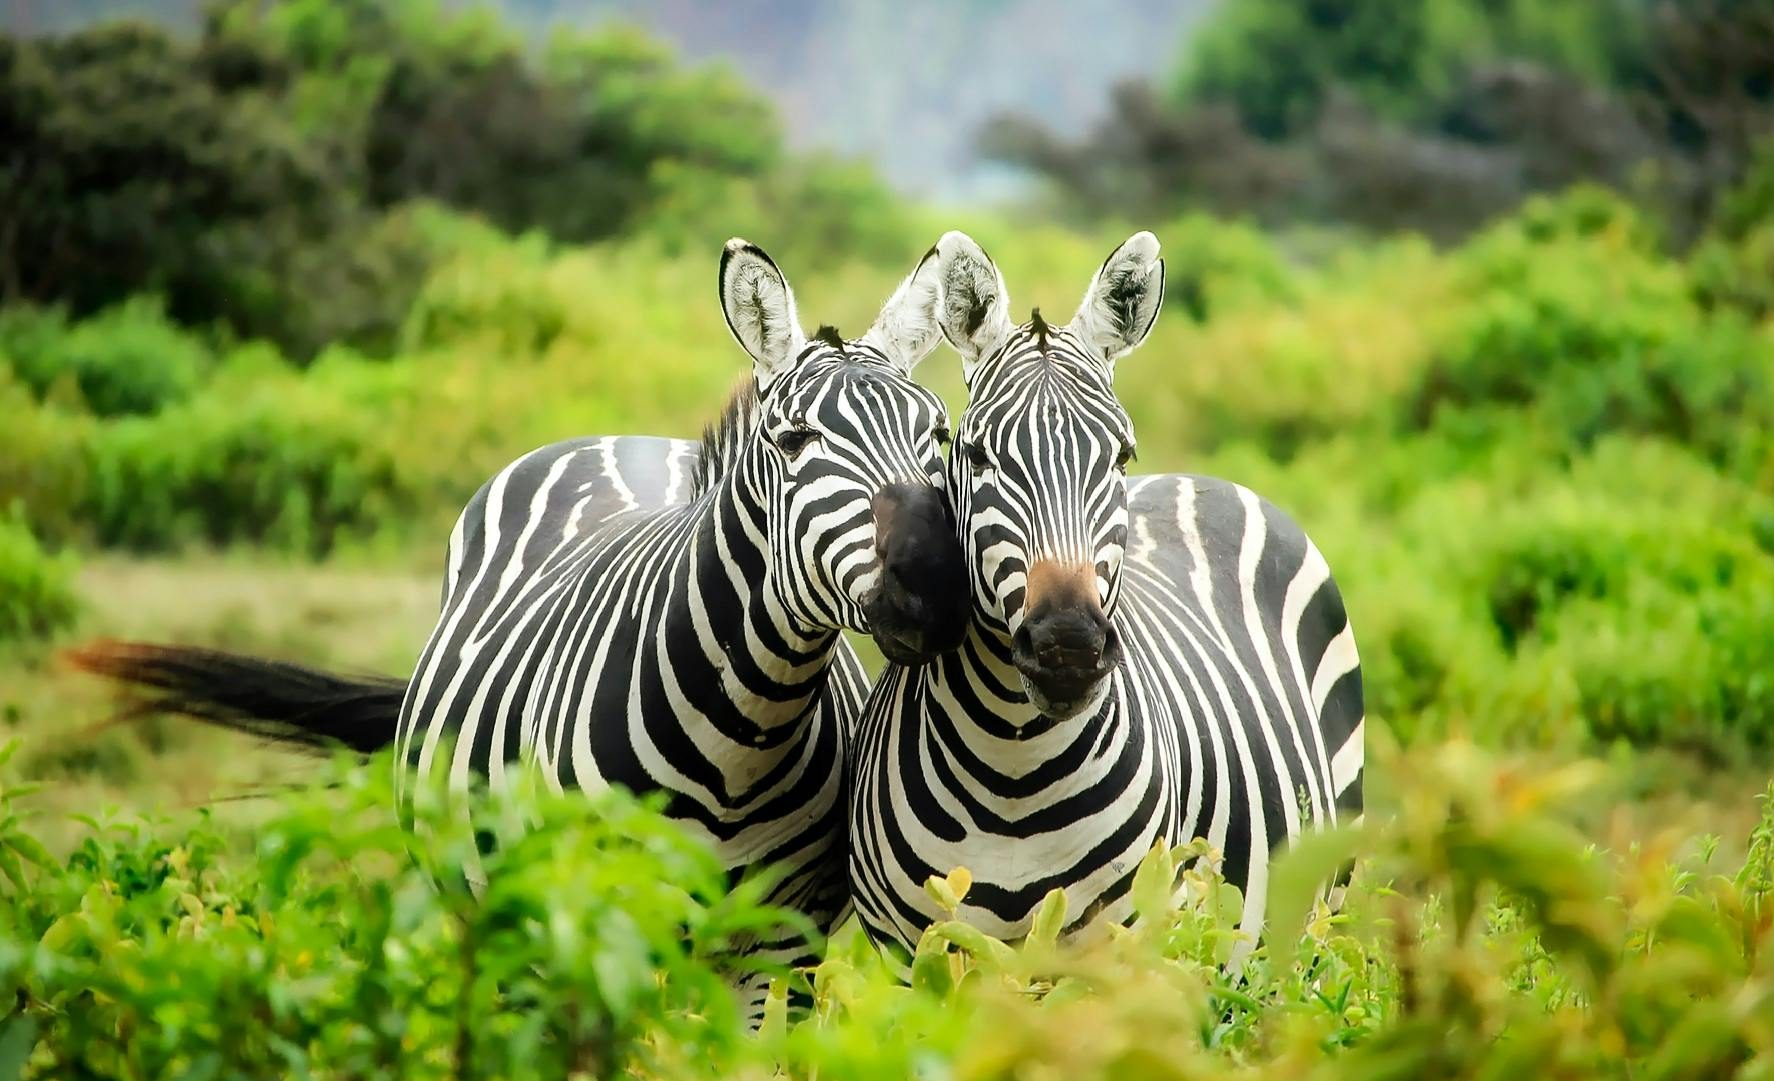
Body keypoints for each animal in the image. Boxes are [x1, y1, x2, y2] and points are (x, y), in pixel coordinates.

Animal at [72, 237, 971, 1011]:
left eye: (939, 433)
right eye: (794, 440)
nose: (934, 584)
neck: (741, 736)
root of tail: (620, 437)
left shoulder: (778, 944)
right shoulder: (588, 920)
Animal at [847, 231, 1364, 963]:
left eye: (1121, 456)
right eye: (975, 454)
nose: (1067, 645)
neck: (1012, 768)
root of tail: (1200, 478)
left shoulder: (1123, 951)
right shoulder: (912, 956)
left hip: (1320, 910)